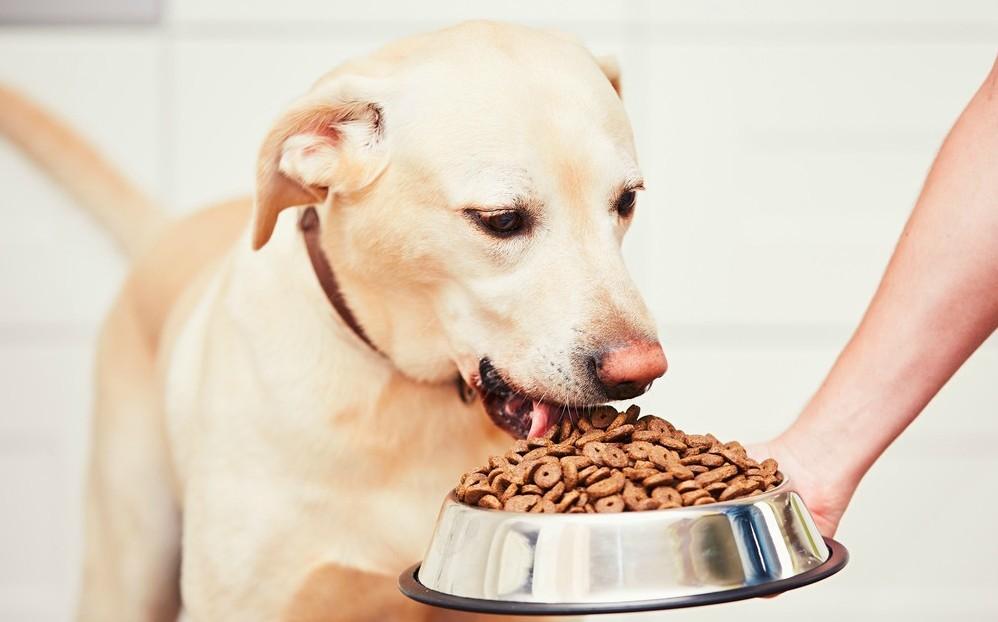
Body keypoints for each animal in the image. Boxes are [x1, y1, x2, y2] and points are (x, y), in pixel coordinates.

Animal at [3, 20, 672, 622]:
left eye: (626, 202)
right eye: (501, 220)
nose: (639, 371)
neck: (401, 393)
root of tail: (167, 230)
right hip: (129, 565)